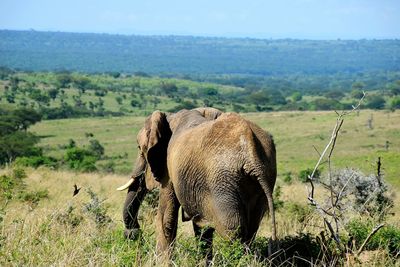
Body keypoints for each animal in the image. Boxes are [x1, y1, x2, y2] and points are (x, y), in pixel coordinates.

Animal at [117, 107, 276, 262]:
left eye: (139, 148)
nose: (133, 233)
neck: (170, 116)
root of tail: (250, 149)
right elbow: (201, 225)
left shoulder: (168, 169)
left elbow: (165, 217)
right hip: (260, 180)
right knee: (251, 228)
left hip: (222, 181)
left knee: (233, 230)